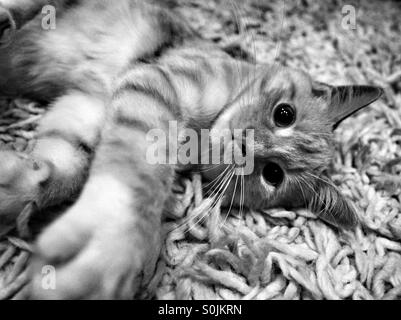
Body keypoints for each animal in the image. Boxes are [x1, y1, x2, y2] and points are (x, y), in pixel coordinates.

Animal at [0, 0, 382, 300]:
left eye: (273, 174)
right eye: (284, 114)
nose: (247, 146)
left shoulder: (88, 105)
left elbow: (63, 161)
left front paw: (19, 186)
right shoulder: (157, 83)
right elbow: (137, 176)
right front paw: (114, 238)